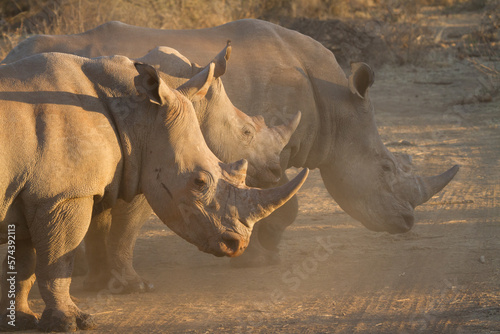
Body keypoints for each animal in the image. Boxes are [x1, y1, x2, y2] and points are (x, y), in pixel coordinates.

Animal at [0, 52, 306, 332]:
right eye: (199, 182)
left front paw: (21, 319)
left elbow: (25, 262)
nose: (237, 244)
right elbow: (59, 258)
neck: (135, 114)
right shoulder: (63, 194)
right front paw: (72, 322)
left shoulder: (35, 192)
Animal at [1, 20, 458, 264]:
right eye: (385, 168)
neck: (336, 107)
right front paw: (259, 259)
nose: (407, 222)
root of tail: (11, 56)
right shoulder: (265, 150)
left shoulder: (265, 153)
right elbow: (279, 203)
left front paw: (262, 254)